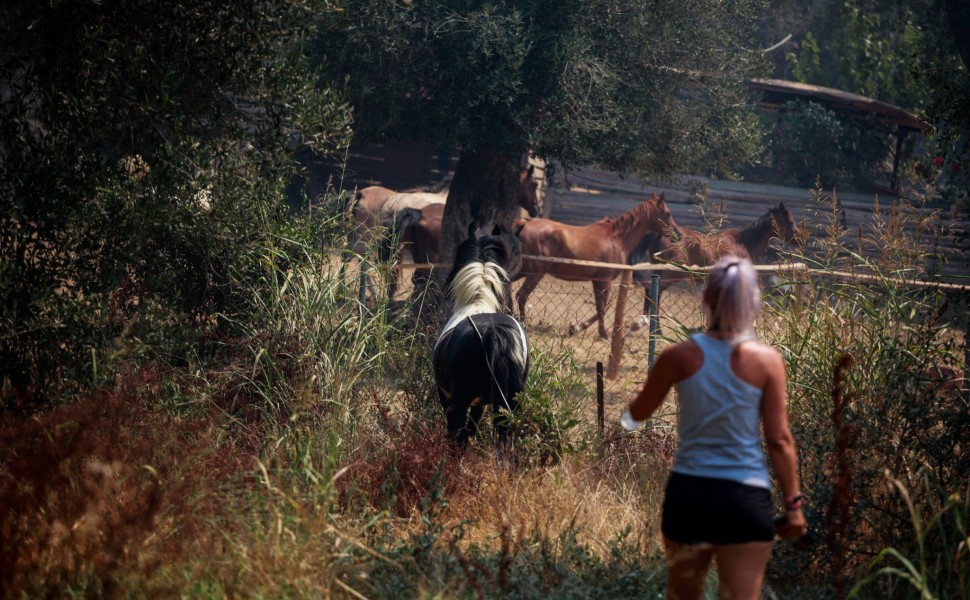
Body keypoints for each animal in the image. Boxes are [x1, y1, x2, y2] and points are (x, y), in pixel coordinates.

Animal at [432, 227, 528, 452]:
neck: (477, 301)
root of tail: (493, 330)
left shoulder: (446, 395)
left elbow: (460, 433)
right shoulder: (481, 404)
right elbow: (471, 431)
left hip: (460, 400)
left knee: (456, 433)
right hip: (510, 401)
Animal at [510, 193, 676, 340]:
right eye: (667, 213)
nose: (677, 235)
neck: (616, 240)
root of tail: (524, 224)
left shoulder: (597, 281)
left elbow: (601, 306)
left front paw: (576, 328)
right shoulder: (605, 280)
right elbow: (603, 307)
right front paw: (601, 334)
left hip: (522, 271)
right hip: (535, 273)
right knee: (521, 295)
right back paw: (522, 324)